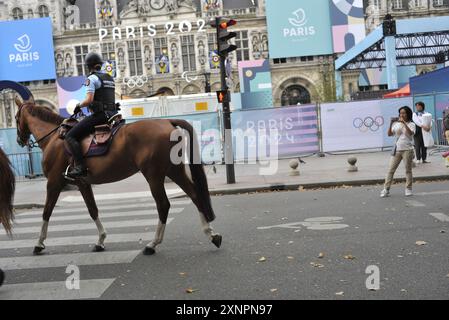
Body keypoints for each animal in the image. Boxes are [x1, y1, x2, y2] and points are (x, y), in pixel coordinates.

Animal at [14, 92, 222, 255]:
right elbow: (92, 210)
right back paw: (212, 234)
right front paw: (101, 240)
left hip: (154, 175)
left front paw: (39, 243)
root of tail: (167, 122)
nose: (19, 140)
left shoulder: (54, 182)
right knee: (194, 195)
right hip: (173, 171)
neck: (55, 138)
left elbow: (46, 211)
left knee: (164, 205)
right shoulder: (82, 183)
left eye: (16, 117)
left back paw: (153, 244)